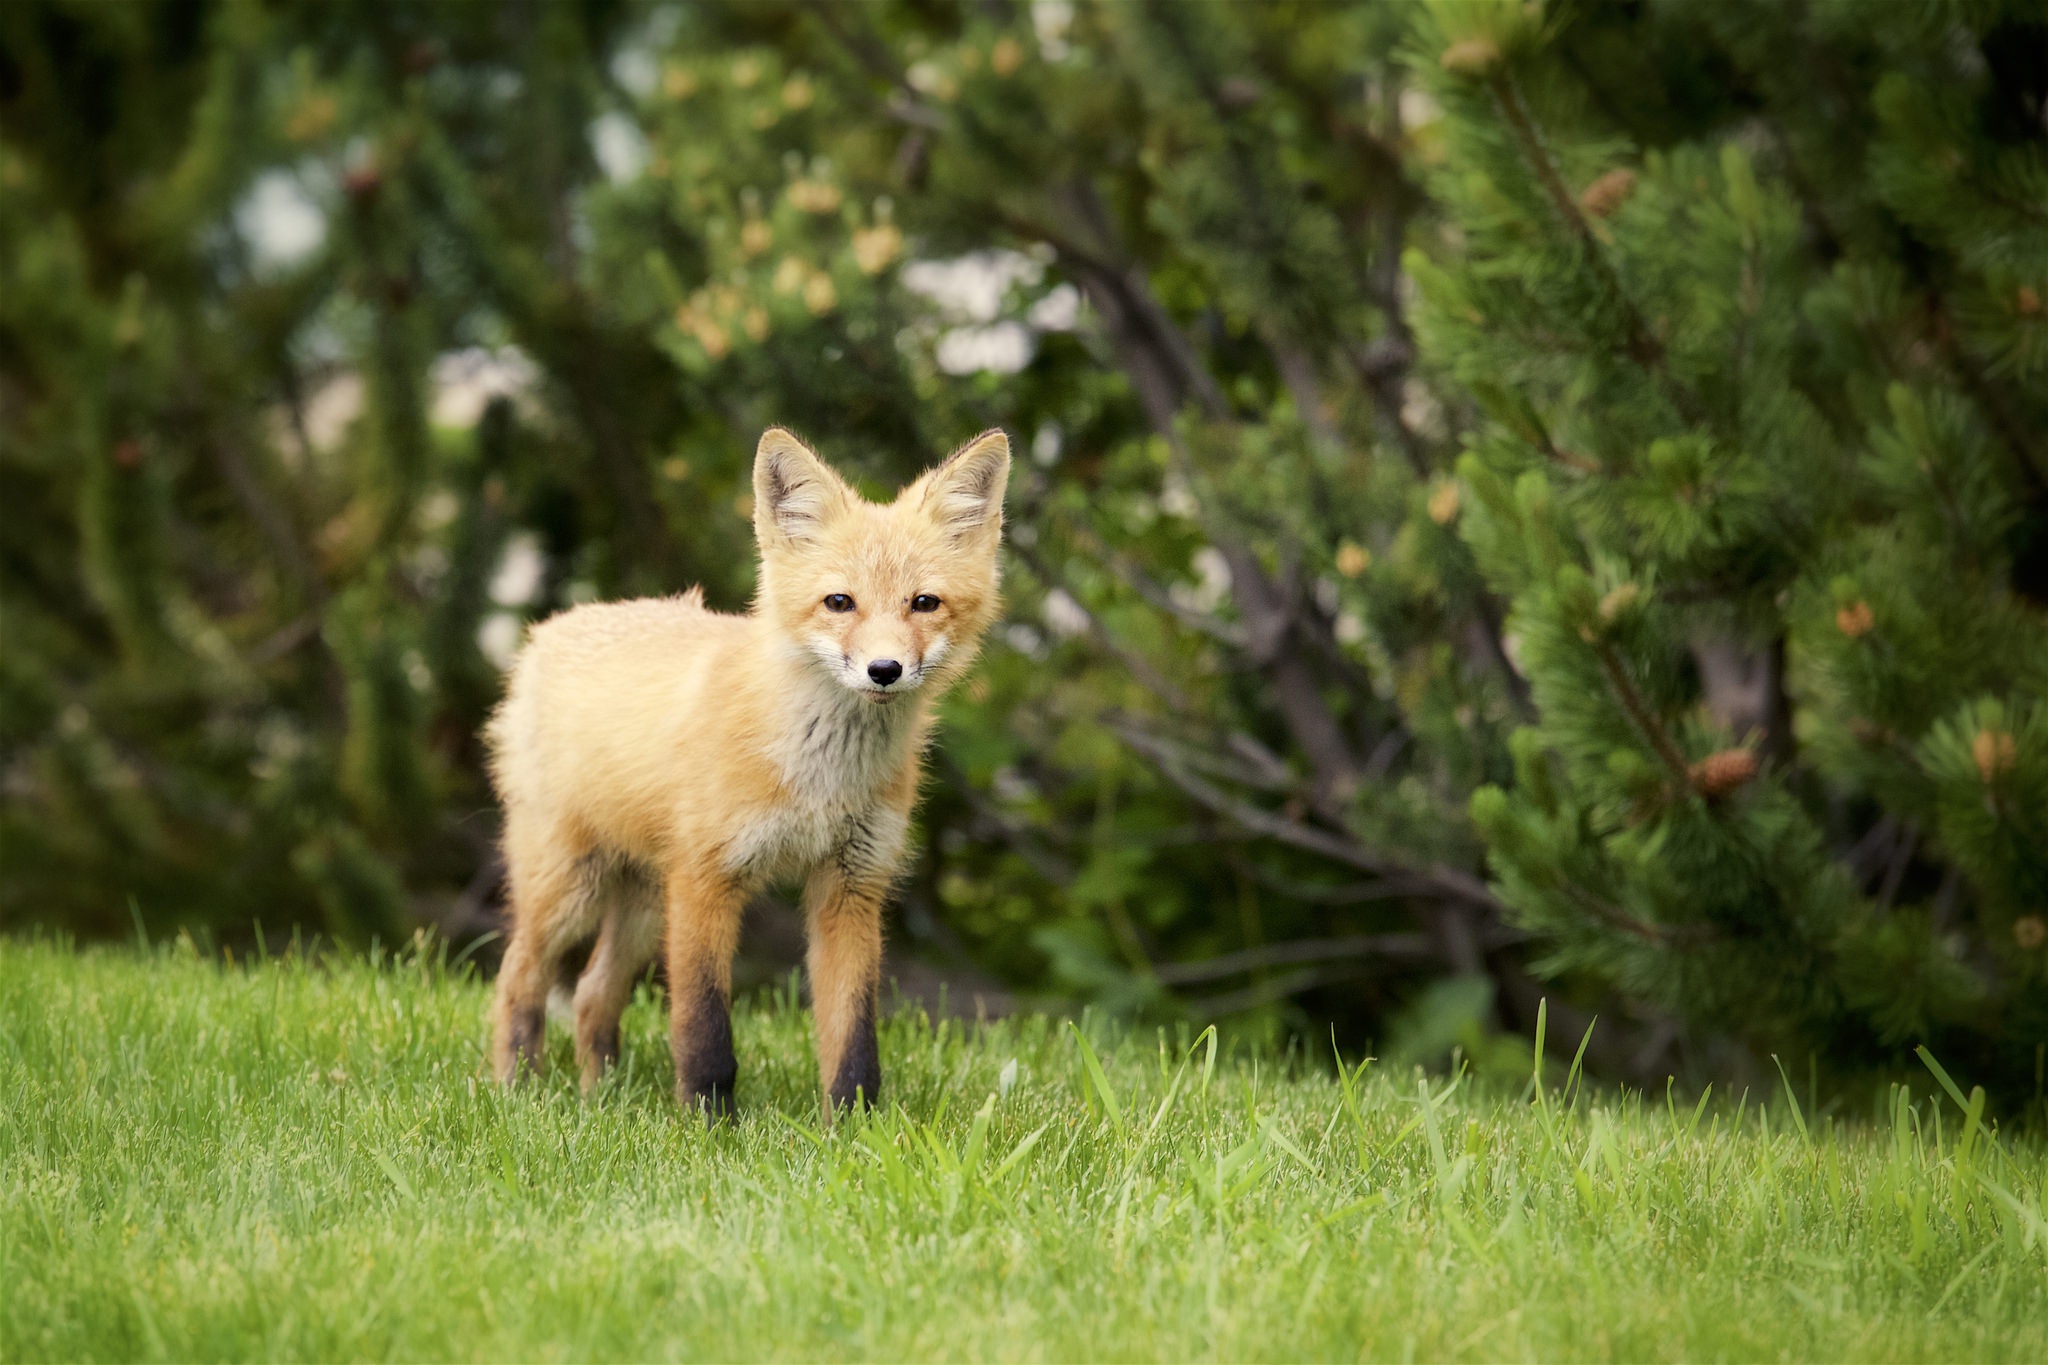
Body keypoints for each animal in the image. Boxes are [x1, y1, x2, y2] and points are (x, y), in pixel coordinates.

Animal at [489, 427, 1015, 1121]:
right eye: (839, 602)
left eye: (924, 603)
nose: (884, 670)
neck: (819, 778)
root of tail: (550, 630)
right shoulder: (706, 880)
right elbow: (704, 1028)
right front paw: (708, 1124)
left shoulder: (851, 885)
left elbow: (854, 1036)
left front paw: (854, 1128)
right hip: (573, 888)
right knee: (517, 977)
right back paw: (517, 1090)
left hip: (644, 903)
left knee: (591, 993)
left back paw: (599, 1098)